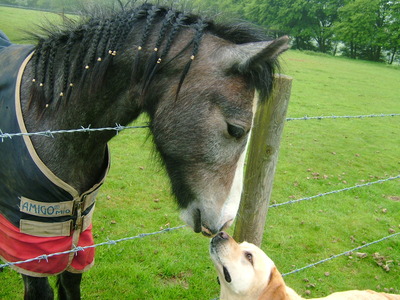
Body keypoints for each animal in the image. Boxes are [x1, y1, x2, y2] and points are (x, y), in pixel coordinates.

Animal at [0, 2, 288, 300]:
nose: (227, 221)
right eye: (236, 129)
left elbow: (71, 285)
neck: (46, 120)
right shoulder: (32, 247)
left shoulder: (76, 237)